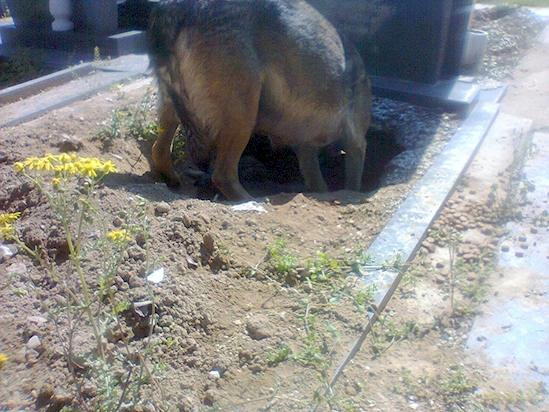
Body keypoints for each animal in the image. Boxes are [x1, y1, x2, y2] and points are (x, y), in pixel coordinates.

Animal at [148, 0, 370, 201]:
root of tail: (182, 7)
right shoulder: (355, 142)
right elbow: (353, 183)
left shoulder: (306, 149)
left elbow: (318, 181)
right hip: (243, 113)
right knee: (222, 175)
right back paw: (250, 201)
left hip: (172, 108)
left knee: (159, 150)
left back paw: (171, 178)